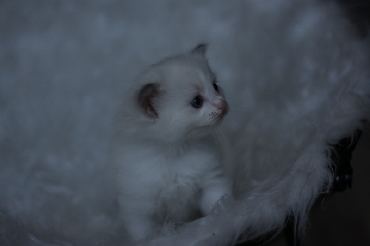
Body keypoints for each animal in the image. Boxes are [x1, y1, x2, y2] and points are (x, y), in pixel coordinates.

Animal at [110, 44, 231, 242]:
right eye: (197, 101)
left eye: (215, 86)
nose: (224, 104)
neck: (175, 151)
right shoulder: (138, 207)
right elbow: (143, 234)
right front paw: (155, 239)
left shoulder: (213, 181)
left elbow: (217, 205)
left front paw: (223, 219)